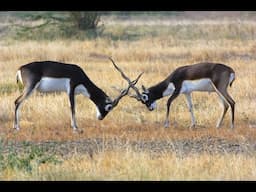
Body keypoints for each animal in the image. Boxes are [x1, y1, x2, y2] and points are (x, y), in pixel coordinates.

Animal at [14, 57, 142, 132]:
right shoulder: (71, 89)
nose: (100, 118)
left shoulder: (73, 93)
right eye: (109, 107)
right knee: (17, 102)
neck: (80, 75)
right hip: (30, 88)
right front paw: (75, 128)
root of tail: (20, 68)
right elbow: (73, 108)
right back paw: (17, 127)